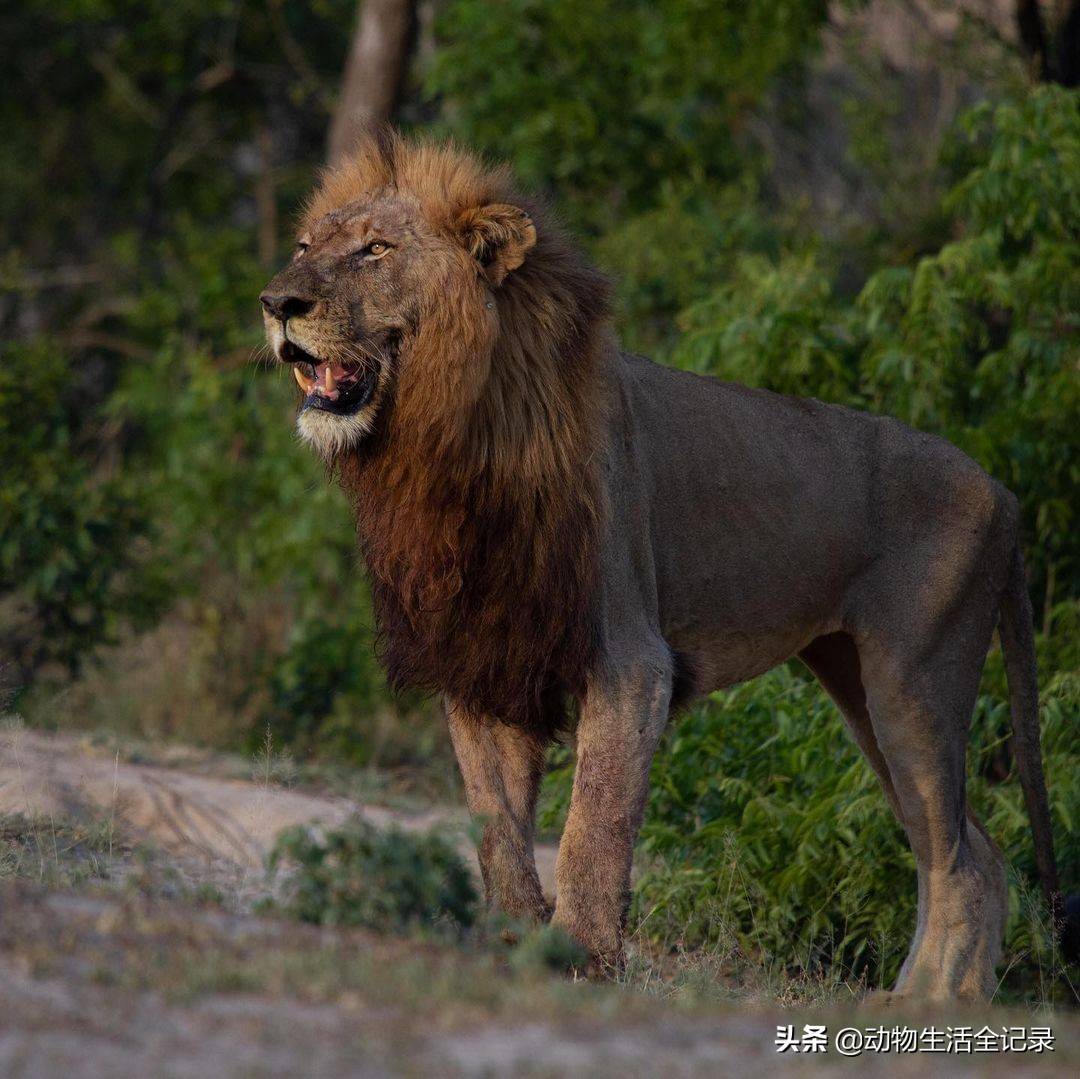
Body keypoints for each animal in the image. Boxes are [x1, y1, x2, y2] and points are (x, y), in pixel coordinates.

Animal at [259, 130, 1062, 997]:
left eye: (375, 250)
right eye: (304, 247)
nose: (276, 303)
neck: (453, 441)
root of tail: (1002, 490)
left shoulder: (631, 658)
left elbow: (593, 821)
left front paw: (581, 954)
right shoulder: (485, 654)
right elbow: (496, 825)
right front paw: (512, 940)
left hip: (913, 680)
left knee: (960, 859)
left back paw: (917, 1008)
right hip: (857, 679)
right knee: (972, 848)